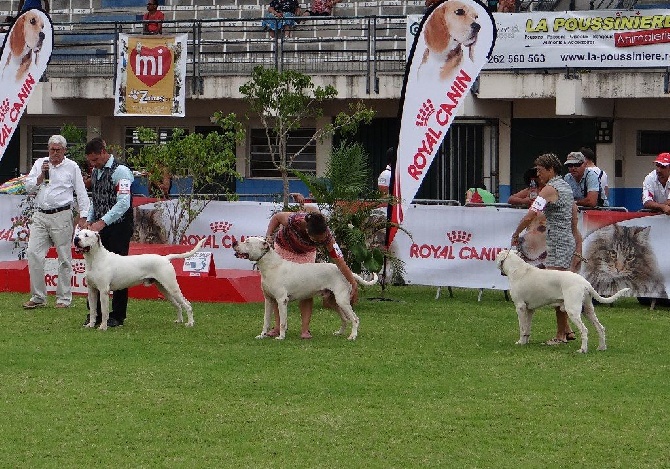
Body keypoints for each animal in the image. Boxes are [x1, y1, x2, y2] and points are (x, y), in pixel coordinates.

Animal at [73, 227, 205, 330]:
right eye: (78, 234)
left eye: (86, 235)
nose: (76, 239)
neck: (94, 259)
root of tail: (165, 258)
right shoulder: (92, 290)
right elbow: (93, 310)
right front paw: (90, 325)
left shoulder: (103, 291)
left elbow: (104, 312)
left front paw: (103, 327)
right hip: (164, 289)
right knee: (177, 305)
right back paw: (179, 321)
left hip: (172, 287)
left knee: (187, 304)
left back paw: (190, 323)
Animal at [231, 236, 378, 338]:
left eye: (248, 242)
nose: (234, 243)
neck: (271, 266)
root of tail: (347, 272)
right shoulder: (269, 300)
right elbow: (266, 321)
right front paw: (262, 335)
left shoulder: (281, 300)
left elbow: (283, 322)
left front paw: (281, 337)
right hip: (333, 302)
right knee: (345, 318)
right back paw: (339, 333)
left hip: (342, 300)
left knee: (355, 319)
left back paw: (352, 336)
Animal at [496, 249, 632, 352]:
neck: (517, 270)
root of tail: (585, 282)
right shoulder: (530, 310)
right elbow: (527, 328)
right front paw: (525, 341)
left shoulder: (520, 307)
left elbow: (522, 327)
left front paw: (520, 342)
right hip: (588, 310)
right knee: (600, 328)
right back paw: (601, 348)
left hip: (572, 311)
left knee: (584, 330)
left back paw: (582, 350)